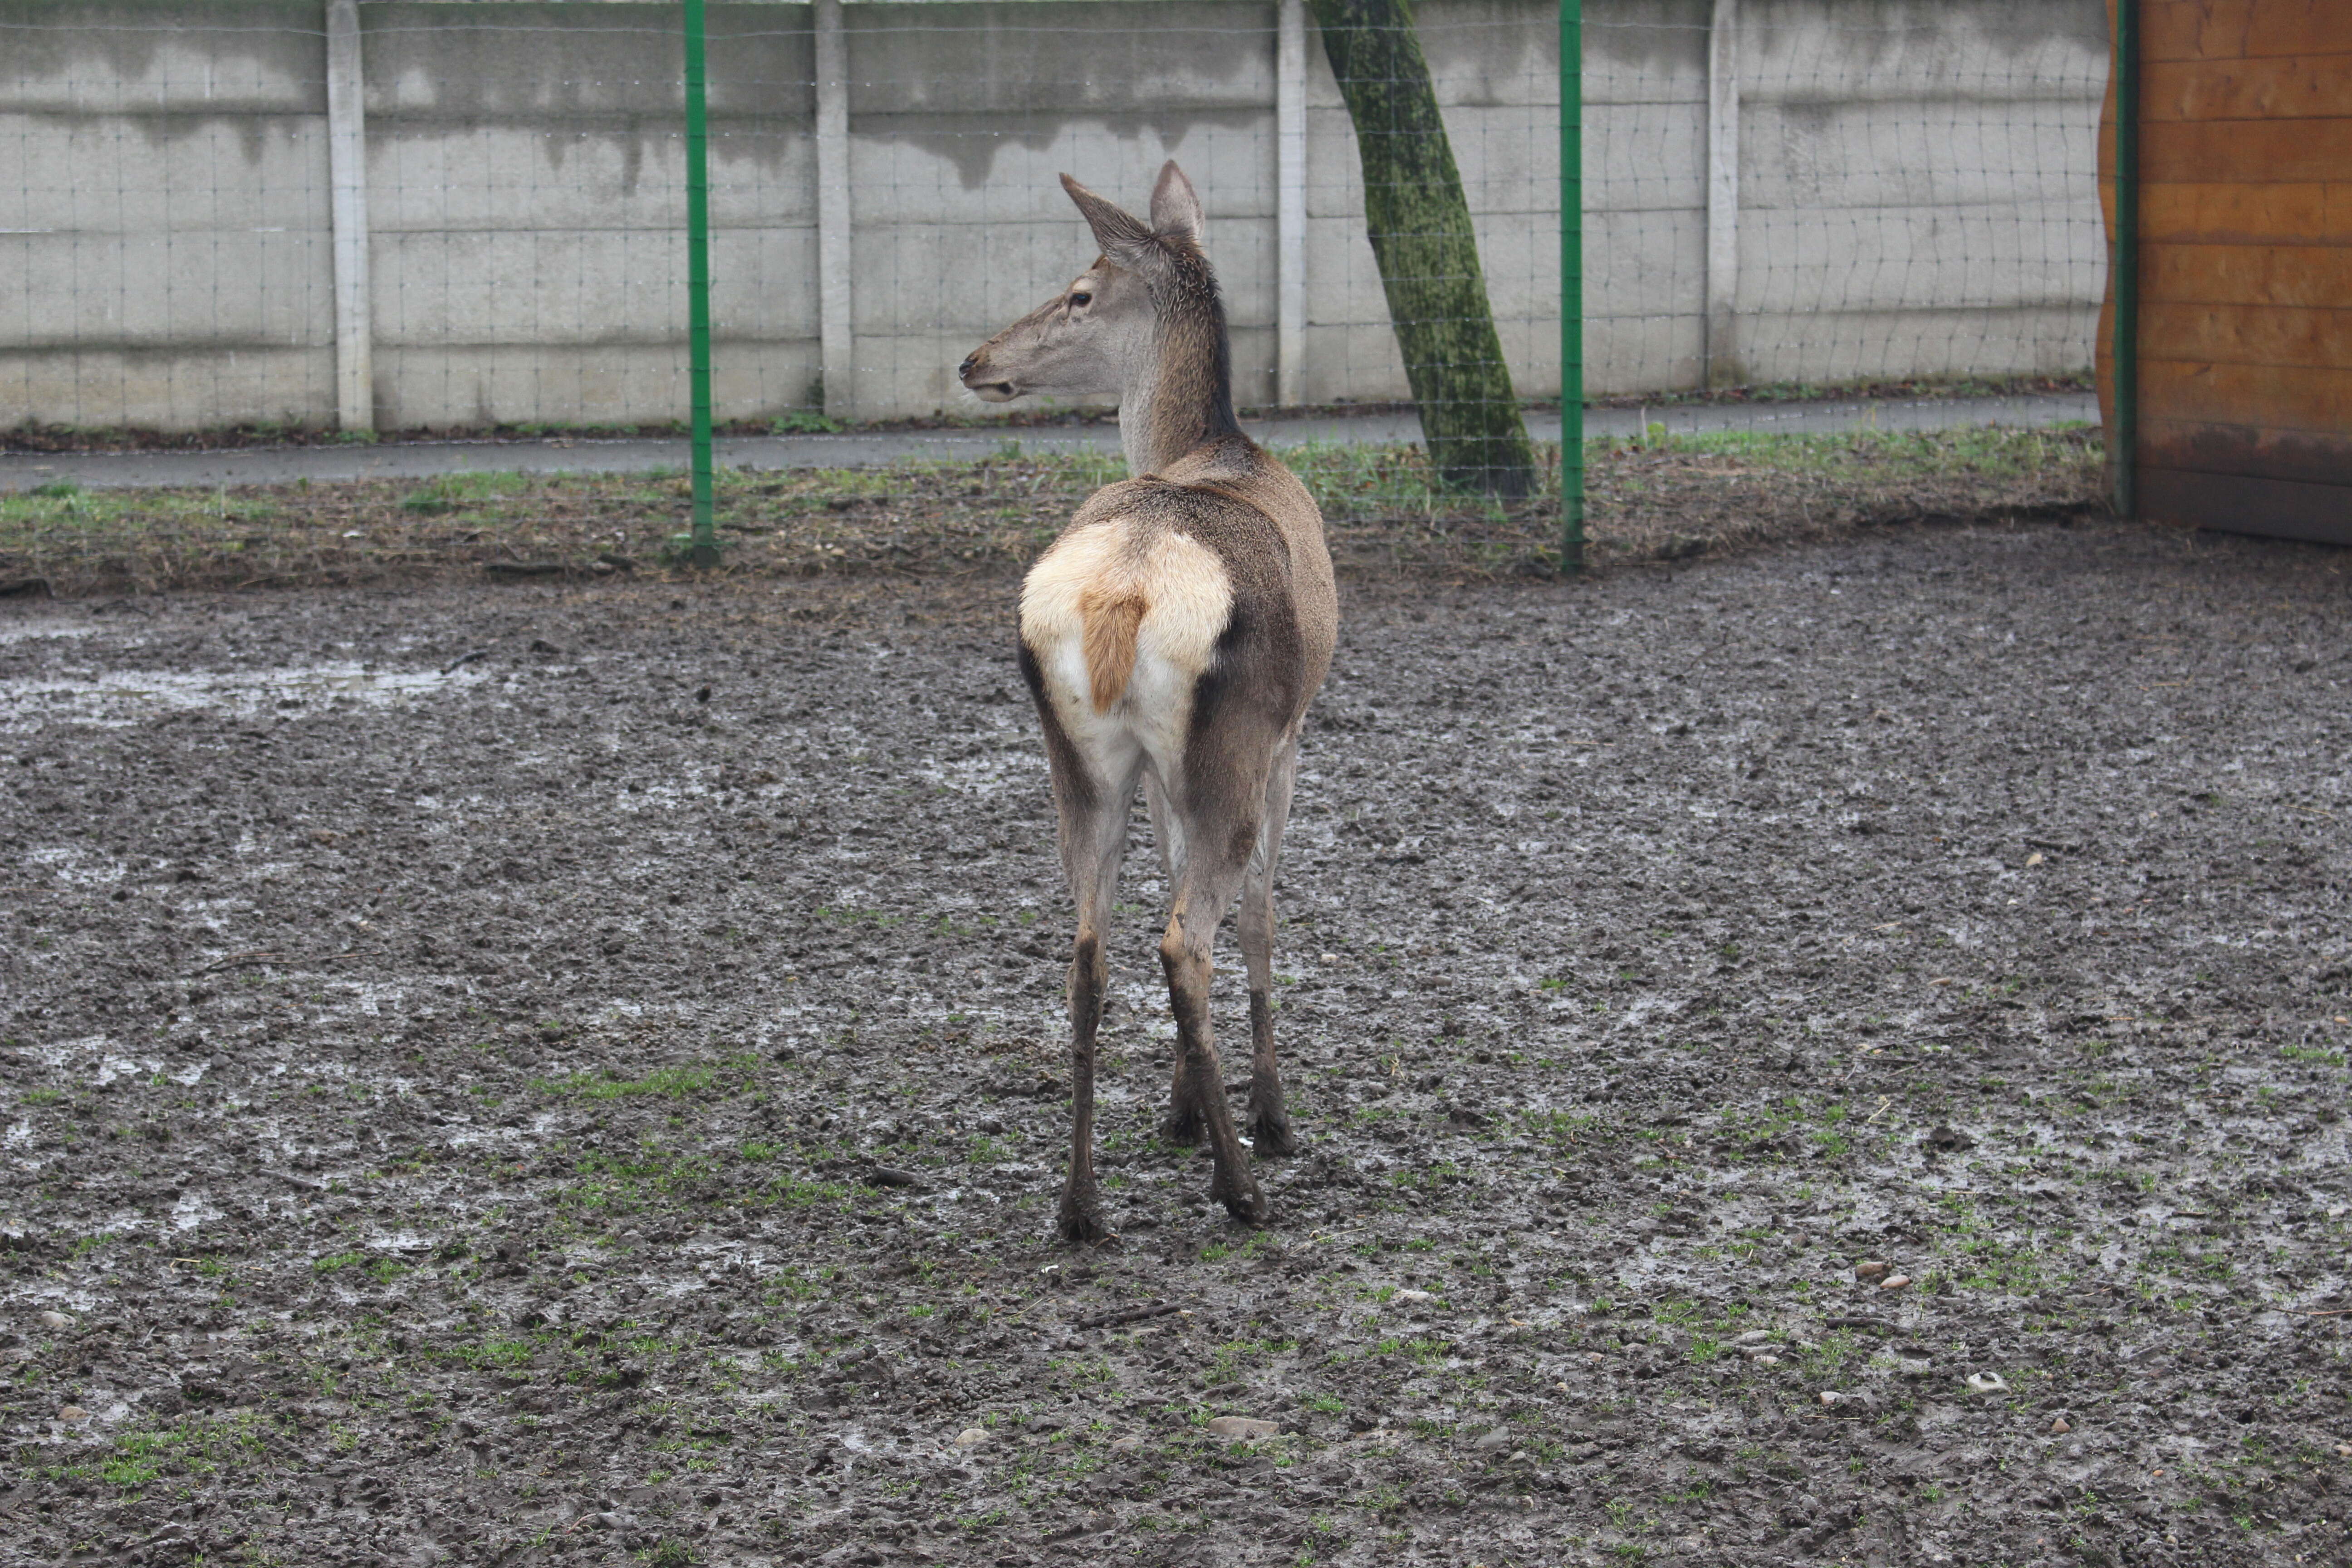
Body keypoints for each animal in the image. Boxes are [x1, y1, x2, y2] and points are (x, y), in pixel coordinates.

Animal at [950, 166, 1326, 1241]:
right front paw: (1264, 1119)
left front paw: (1180, 1110)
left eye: (1081, 293)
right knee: (1186, 937)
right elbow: (1263, 916)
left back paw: (1079, 1205)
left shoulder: (1164, 770)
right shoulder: (1289, 737)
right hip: (1231, 741)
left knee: (1087, 950)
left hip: (1077, 757)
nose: (974, 359)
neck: (1216, 444)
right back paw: (1242, 1186)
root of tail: (1125, 592)